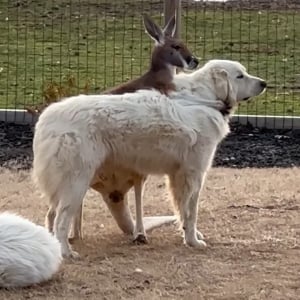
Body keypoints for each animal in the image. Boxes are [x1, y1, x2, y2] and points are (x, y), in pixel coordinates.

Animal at [32, 59, 266, 258]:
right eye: (240, 76)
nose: (264, 83)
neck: (204, 100)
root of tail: (46, 119)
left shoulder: (177, 176)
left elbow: (181, 210)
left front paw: (191, 235)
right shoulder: (193, 174)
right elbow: (191, 212)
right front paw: (193, 241)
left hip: (64, 186)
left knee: (51, 216)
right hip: (76, 184)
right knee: (61, 221)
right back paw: (66, 252)